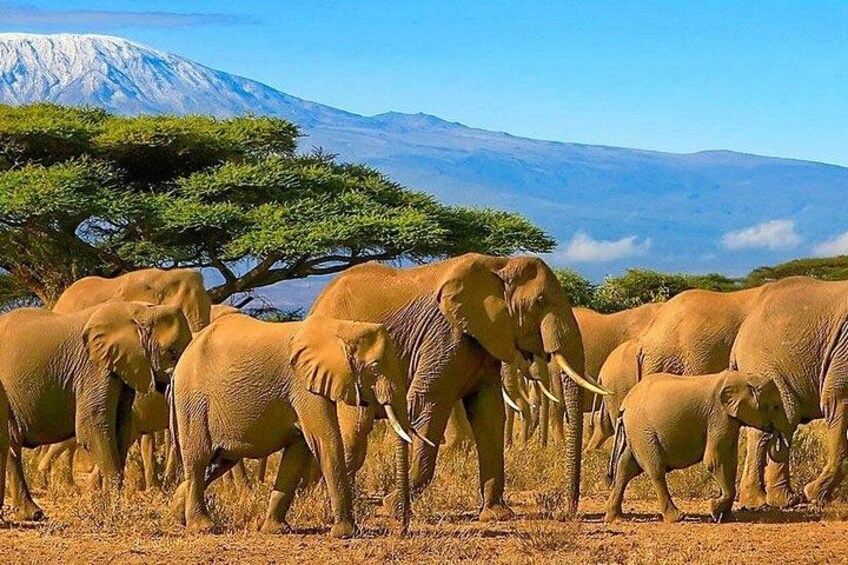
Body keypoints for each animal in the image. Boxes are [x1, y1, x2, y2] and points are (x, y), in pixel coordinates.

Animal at [0, 301, 192, 520]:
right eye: (172, 352)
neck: (141, 311)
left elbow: (121, 429)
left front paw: (105, 507)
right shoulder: (93, 368)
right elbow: (92, 427)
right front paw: (111, 513)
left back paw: (32, 514)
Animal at [170, 313, 415, 538]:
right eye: (375, 369)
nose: (402, 530)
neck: (342, 328)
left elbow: (297, 452)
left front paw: (276, 530)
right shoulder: (303, 385)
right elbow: (325, 441)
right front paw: (346, 533)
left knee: (218, 462)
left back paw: (176, 514)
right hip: (193, 401)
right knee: (199, 458)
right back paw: (203, 527)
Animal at [308, 253, 604, 519]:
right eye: (539, 301)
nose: (567, 513)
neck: (500, 263)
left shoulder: (484, 340)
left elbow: (489, 413)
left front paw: (496, 514)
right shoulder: (445, 335)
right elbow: (429, 402)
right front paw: (393, 506)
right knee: (356, 429)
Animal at [605, 371, 792, 523]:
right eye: (775, 406)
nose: (774, 433)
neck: (744, 377)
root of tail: (625, 404)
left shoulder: (729, 419)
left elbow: (730, 462)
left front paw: (726, 517)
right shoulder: (719, 415)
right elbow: (714, 460)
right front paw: (714, 509)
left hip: (636, 433)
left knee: (625, 467)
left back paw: (616, 518)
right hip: (643, 432)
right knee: (655, 470)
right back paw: (677, 517)